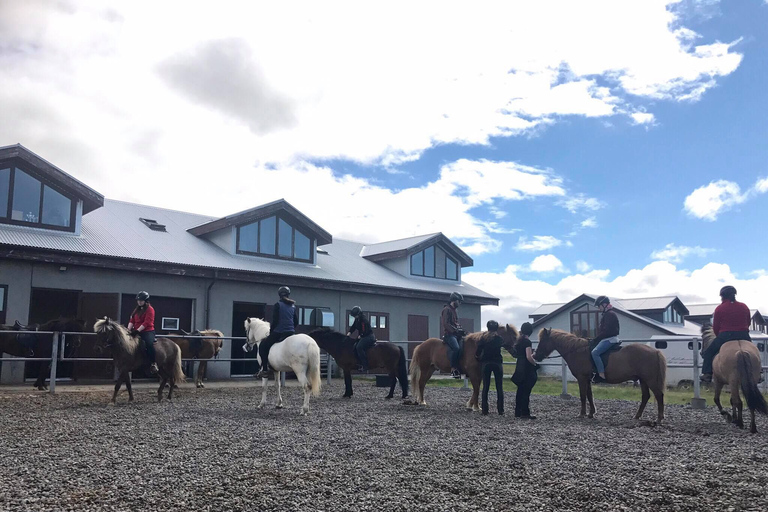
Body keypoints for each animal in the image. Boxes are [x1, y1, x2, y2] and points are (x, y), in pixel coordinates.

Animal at [536, 328, 664, 424]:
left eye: (542, 341)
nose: (535, 355)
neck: (577, 351)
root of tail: (655, 351)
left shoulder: (582, 378)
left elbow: (583, 396)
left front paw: (582, 414)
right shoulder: (587, 379)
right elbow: (589, 395)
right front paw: (591, 413)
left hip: (650, 380)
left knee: (659, 395)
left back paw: (659, 419)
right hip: (643, 380)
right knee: (646, 396)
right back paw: (637, 416)